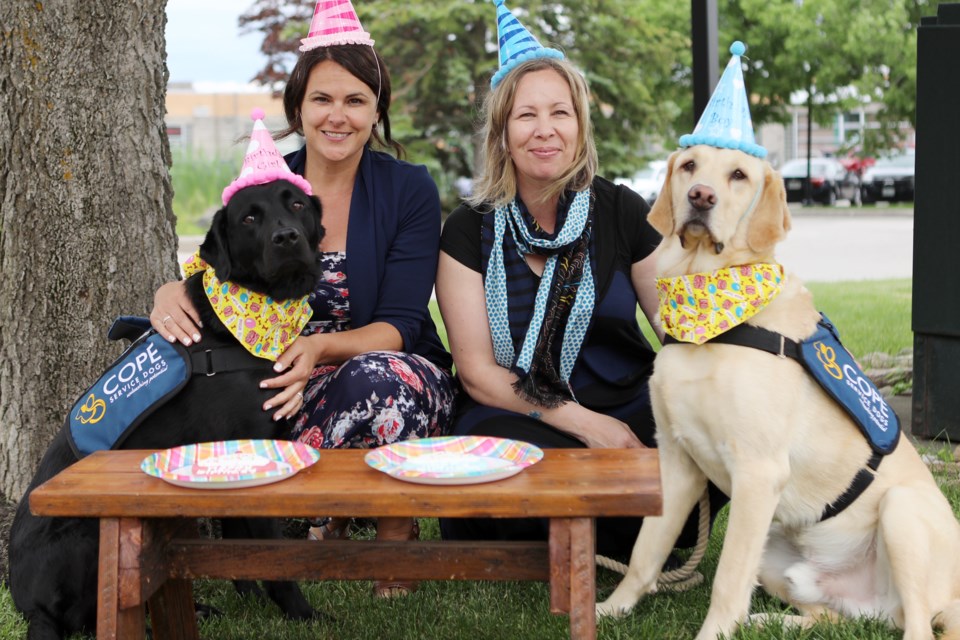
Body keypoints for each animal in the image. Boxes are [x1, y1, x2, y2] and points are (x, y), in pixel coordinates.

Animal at [5, 179, 326, 640]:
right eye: (249, 217)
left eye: (297, 204)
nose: (287, 237)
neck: (245, 323)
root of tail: (29, 608)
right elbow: (272, 554)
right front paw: (301, 613)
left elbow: (236, 539)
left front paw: (249, 598)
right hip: (93, 531)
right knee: (94, 616)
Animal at [600, 145, 960, 640]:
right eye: (690, 165)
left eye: (738, 175)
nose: (700, 197)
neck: (710, 321)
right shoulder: (676, 463)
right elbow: (644, 553)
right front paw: (611, 609)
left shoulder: (758, 472)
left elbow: (728, 576)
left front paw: (712, 634)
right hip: (776, 552)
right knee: (830, 615)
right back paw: (772, 619)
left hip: (899, 512)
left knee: (920, 626)